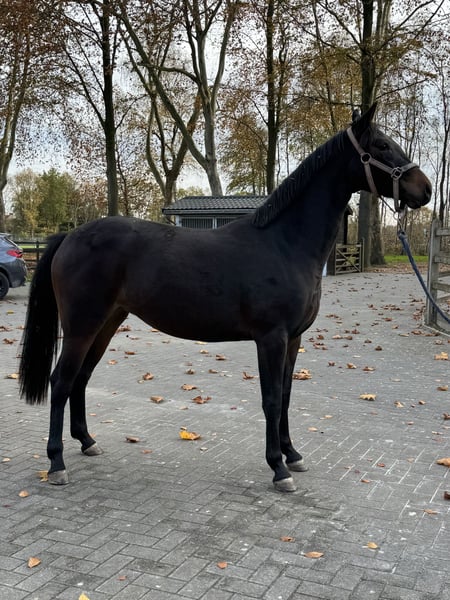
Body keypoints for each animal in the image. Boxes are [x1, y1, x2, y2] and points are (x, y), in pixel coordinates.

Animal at [19, 104, 432, 492]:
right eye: (381, 145)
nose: (424, 189)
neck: (285, 244)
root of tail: (69, 237)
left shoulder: (293, 339)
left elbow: (286, 395)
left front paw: (292, 454)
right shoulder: (271, 338)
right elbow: (271, 399)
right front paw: (278, 468)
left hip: (107, 323)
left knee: (81, 378)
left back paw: (87, 442)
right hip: (81, 326)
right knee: (61, 381)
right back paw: (57, 464)